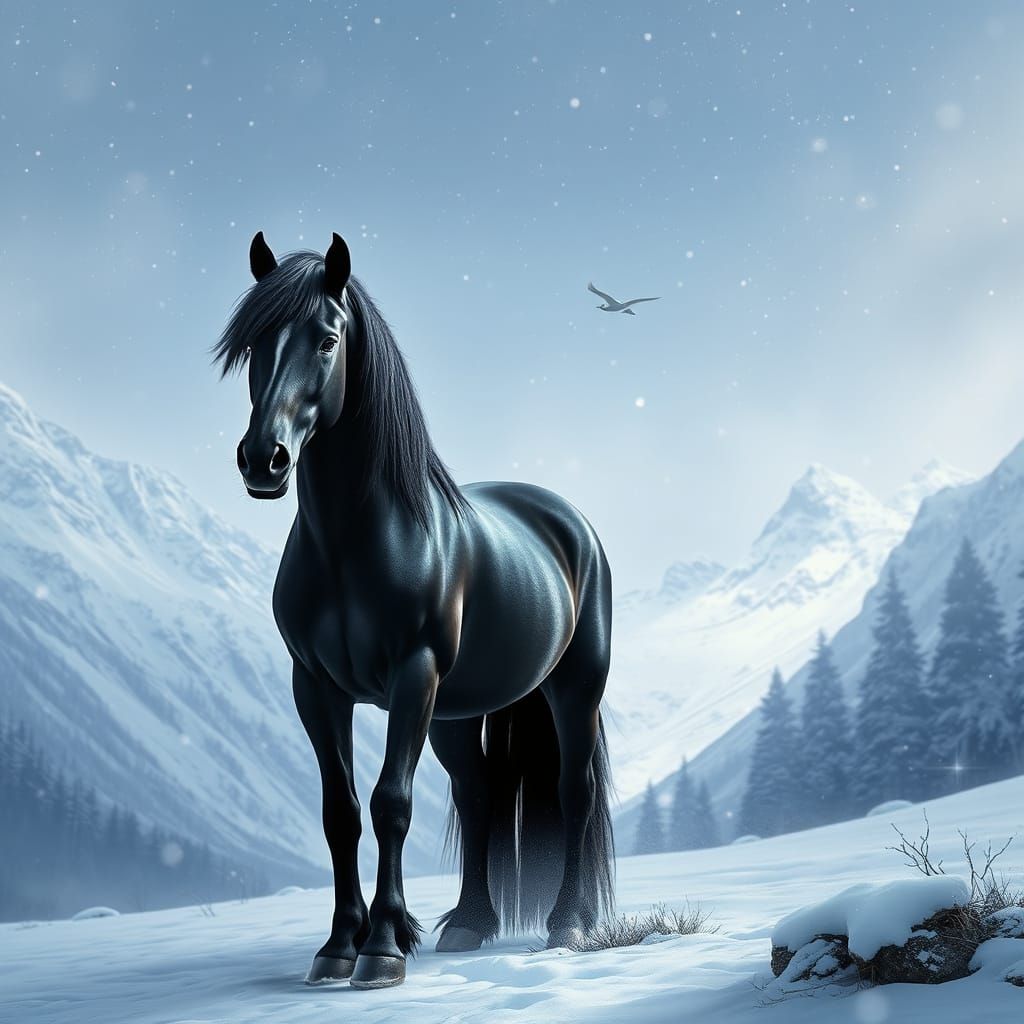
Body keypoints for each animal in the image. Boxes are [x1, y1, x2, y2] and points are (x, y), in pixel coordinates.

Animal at [215, 231, 615, 990]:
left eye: (327, 340)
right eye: (252, 346)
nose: (263, 460)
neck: (354, 544)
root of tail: (569, 521)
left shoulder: (413, 674)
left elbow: (390, 803)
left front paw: (380, 951)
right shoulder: (315, 686)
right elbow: (340, 811)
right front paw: (340, 945)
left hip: (571, 689)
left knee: (573, 790)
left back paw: (570, 926)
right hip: (456, 713)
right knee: (479, 794)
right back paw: (468, 925)